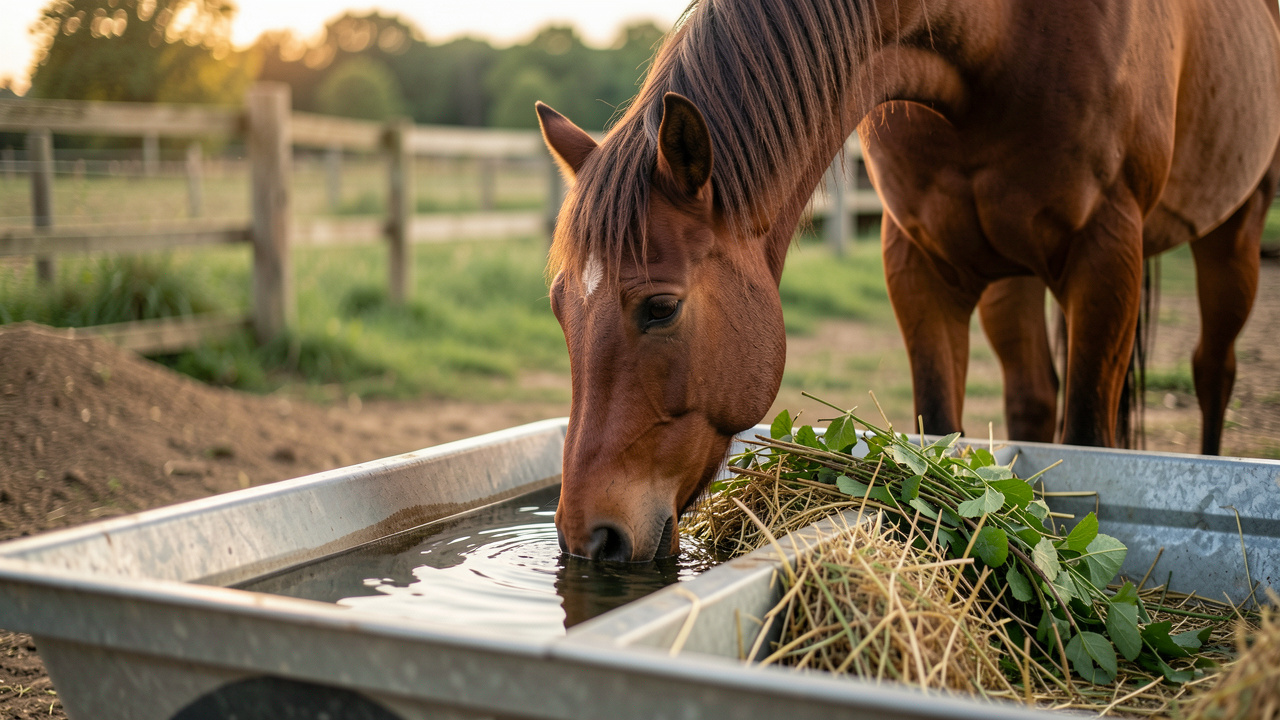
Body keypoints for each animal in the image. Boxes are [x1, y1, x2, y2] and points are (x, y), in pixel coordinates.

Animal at [537, 0, 1280, 561]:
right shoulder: (918, 264)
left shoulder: (1106, 255)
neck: (999, 37)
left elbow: (1091, 434)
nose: (587, 537)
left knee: (1213, 372)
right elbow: (941, 431)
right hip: (1010, 278)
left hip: (1233, 236)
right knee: (1032, 397)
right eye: (559, 310)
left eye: (661, 308)